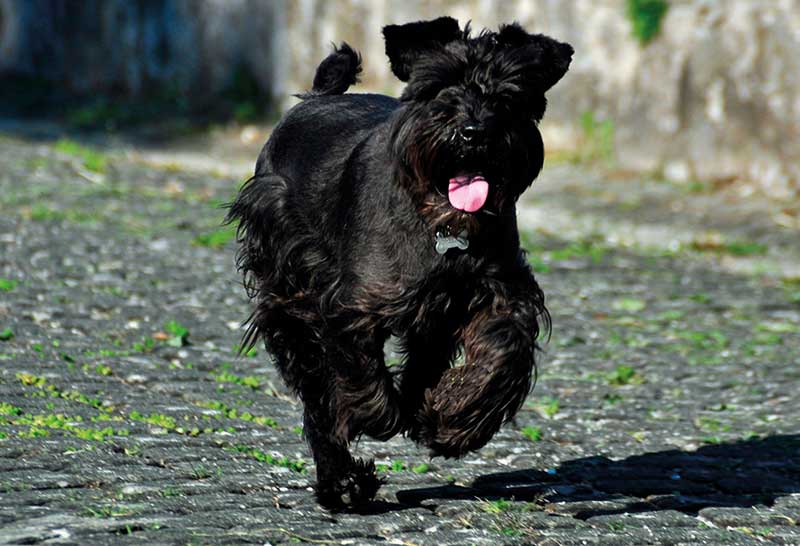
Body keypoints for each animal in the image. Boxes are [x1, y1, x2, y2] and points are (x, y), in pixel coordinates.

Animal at [228, 17, 572, 508]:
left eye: (510, 91)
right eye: (438, 85)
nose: (475, 131)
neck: (442, 229)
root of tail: (314, 98)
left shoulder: (499, 292)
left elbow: (503, 353)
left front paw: (454, 420)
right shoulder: (351, 303)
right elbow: (359, 374)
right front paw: (376, 416)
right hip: (287, 292)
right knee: (315, 390)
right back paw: (343, 482)